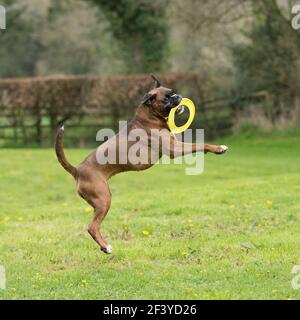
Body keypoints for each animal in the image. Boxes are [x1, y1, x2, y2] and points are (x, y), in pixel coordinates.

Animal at [55, 74, 227, 252]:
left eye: (172, 92)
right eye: (166, 98)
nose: (178, 96)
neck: (149, 116)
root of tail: (77, 170)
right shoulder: (174, 149)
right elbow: (198, 144)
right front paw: (219, 148)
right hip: (103, 200)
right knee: (92, 227)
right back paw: (106, 247)